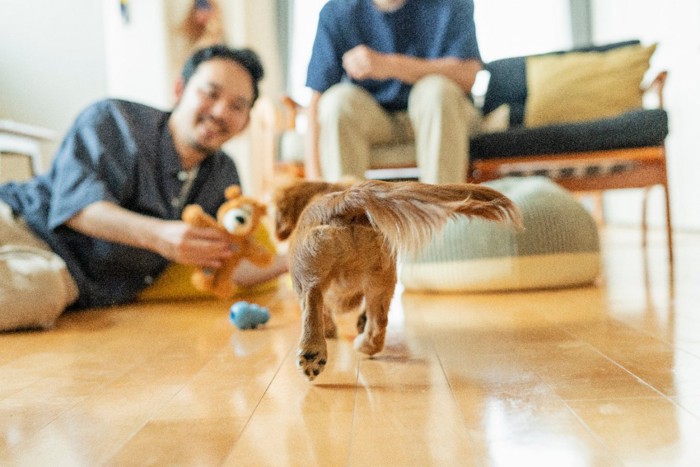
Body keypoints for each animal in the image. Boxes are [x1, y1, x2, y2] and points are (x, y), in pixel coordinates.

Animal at [272, 179, 520, 380]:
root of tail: (341, 200)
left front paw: (331, 330)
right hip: (382, 277)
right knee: (378, 325)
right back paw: (363, 343)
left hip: (305, 274)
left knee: (312, 302)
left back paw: (312, 354)